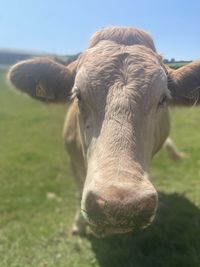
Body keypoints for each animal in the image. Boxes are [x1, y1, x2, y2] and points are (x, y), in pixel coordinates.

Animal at [7, 26, 200, 237]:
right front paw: (78, 225)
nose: (121, 207)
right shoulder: (72, 161)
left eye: (163, 98)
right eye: (78, 95)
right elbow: (78, 191)